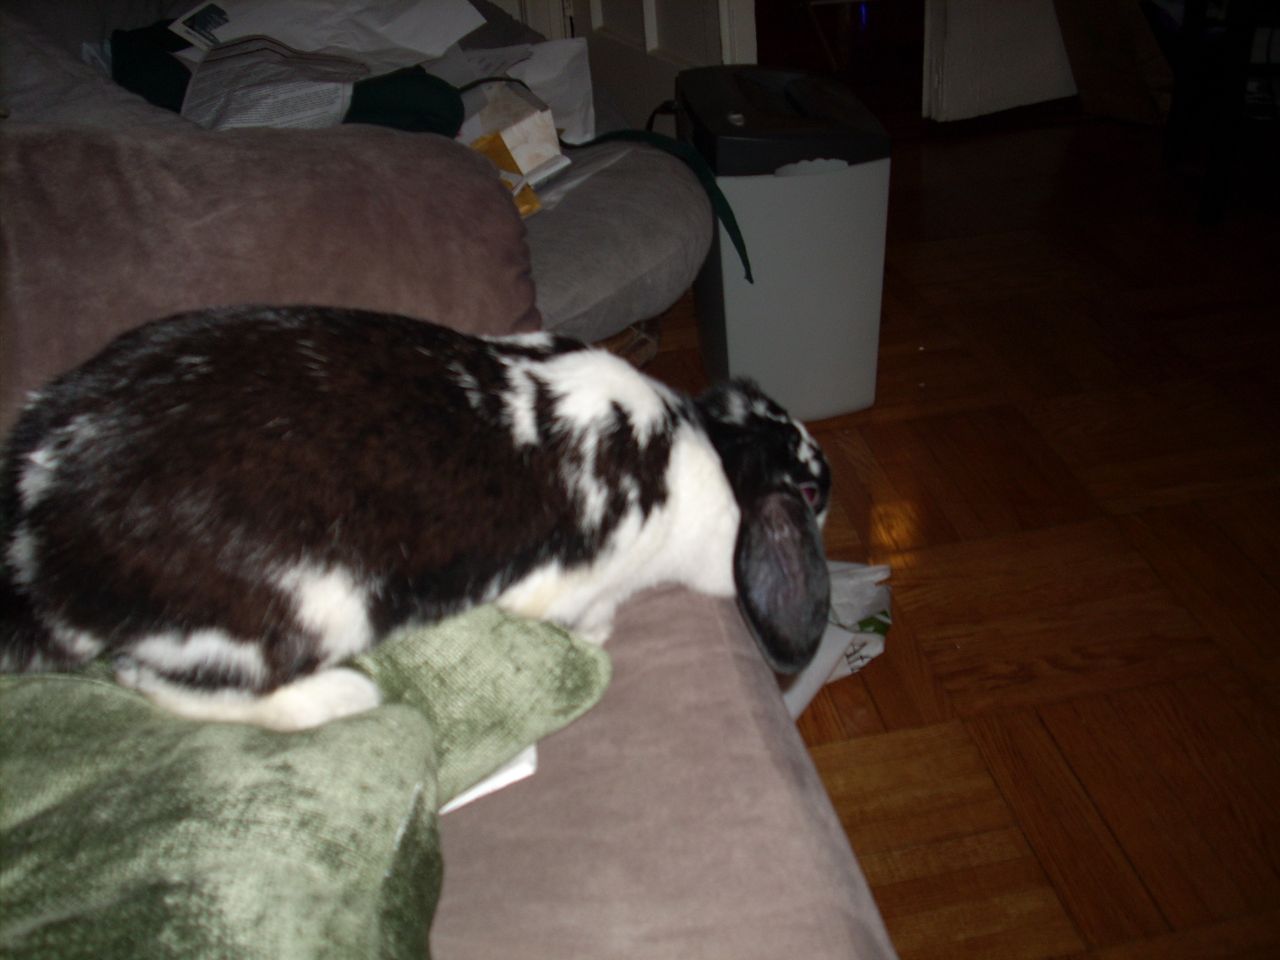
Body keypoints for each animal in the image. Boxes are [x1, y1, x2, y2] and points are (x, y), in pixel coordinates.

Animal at [0, 305, 829, 727]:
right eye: (813, 493)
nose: (832, 489)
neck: (711, 450)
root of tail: (37, 539)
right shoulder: (573, 582)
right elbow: (583, 612)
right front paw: (597, 637)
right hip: (293, 617)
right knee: (162, 683)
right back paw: (346, 697)